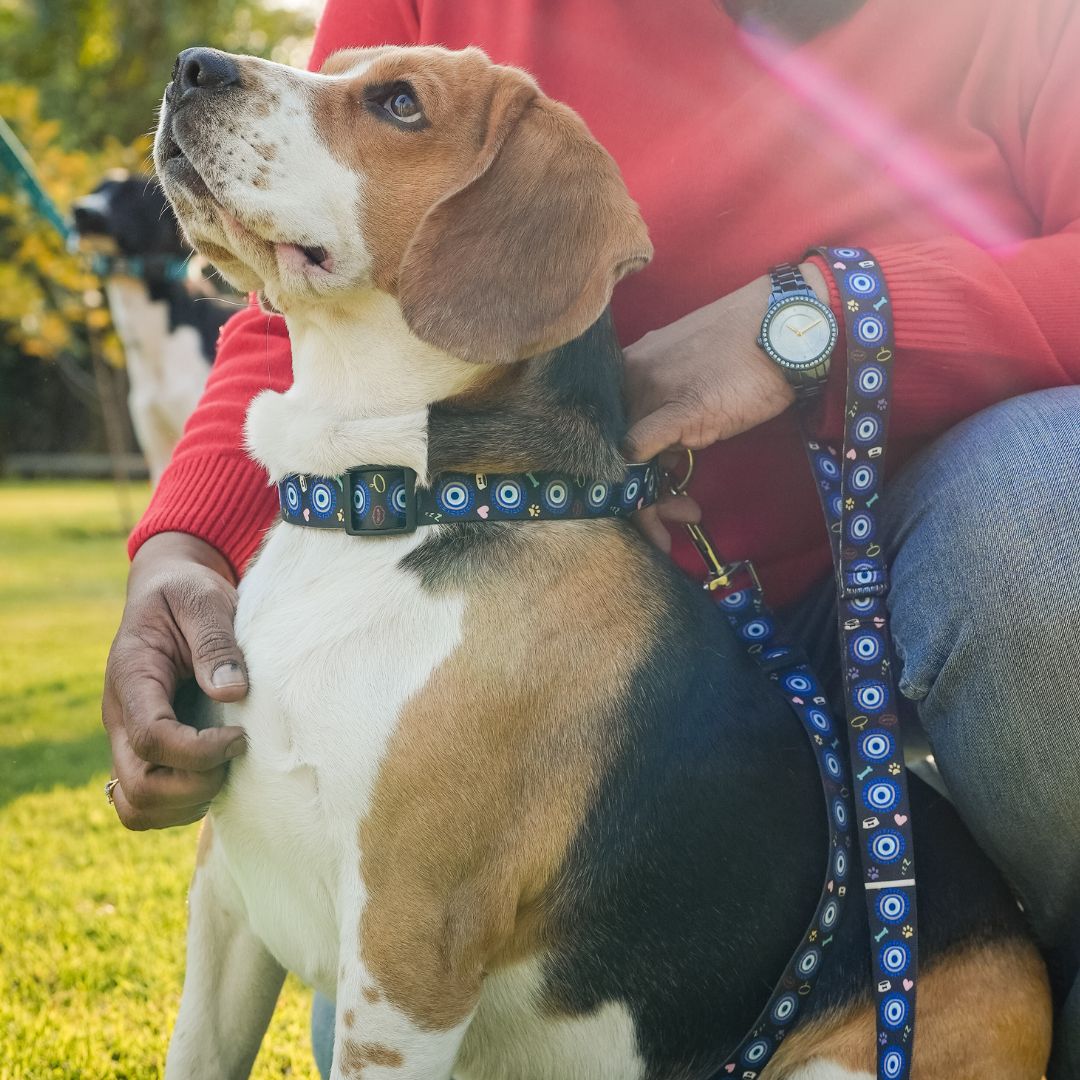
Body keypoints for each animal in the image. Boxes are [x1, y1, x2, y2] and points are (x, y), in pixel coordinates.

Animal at [156, 44, 1049, 1080]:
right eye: (331, 66)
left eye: (399, 104)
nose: (193, 66)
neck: (389, 504)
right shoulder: (225, 899)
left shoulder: (406, 951)